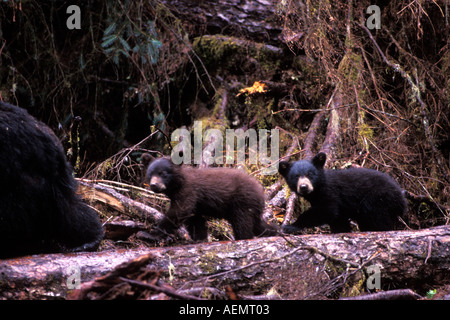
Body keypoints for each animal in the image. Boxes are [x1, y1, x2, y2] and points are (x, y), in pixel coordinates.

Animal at [144, 154, 278, 240]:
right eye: (150, 174)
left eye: (163, 173)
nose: (154, 185)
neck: (179, 183)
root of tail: (261, 193)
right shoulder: (195, 204)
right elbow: (195, 220)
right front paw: (200, 238)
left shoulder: (188, 192)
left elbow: (178, 212)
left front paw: (151, 234)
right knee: (258, 225)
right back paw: (276, 231)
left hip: (242, 203)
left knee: (243, 225)